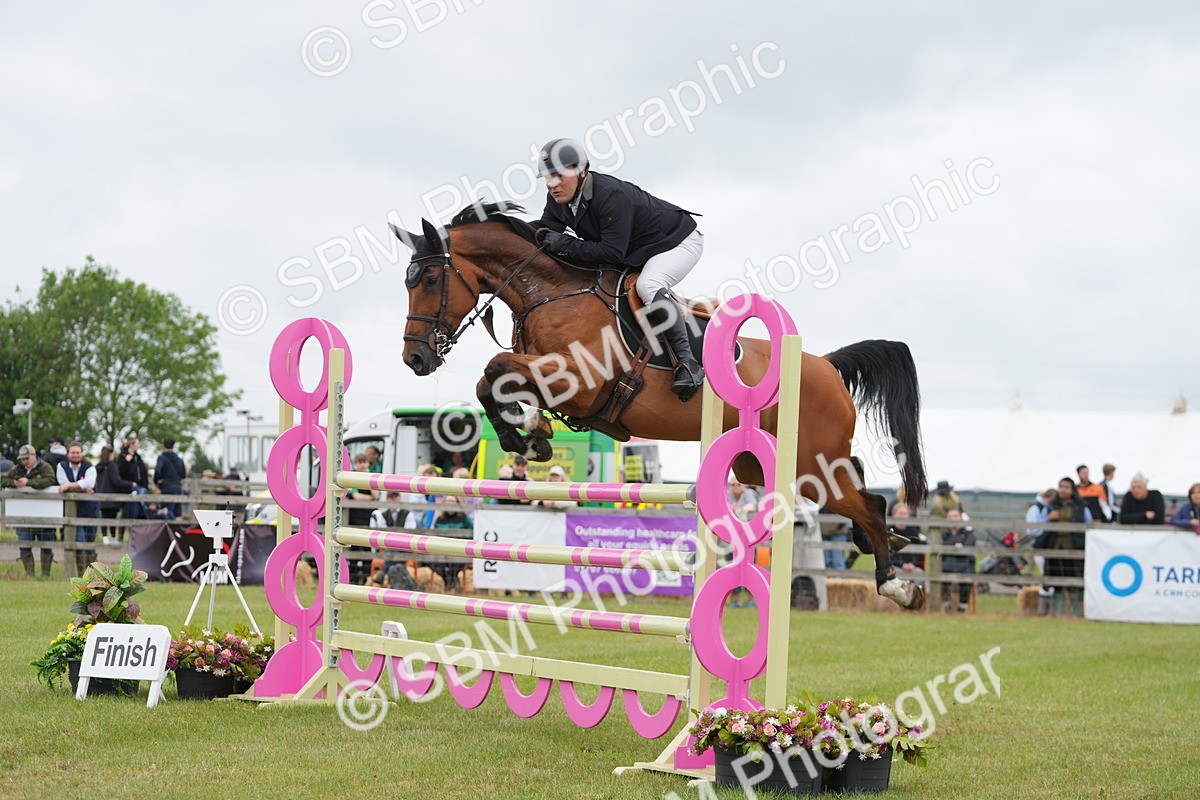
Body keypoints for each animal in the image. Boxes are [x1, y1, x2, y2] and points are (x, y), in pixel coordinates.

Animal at [391, 202, 928, 609]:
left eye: (432, 279)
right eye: (409, 282)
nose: (415, 358)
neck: (551, 292)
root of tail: (826, 365)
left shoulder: (581, 382)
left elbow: (498, 367)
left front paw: (527, 433)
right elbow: (491, 381)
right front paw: (531, 434)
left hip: (807, 463)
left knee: (871, 503)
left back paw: (898, 586)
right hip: (767, 466)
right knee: (859, 483)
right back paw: (890, 550)